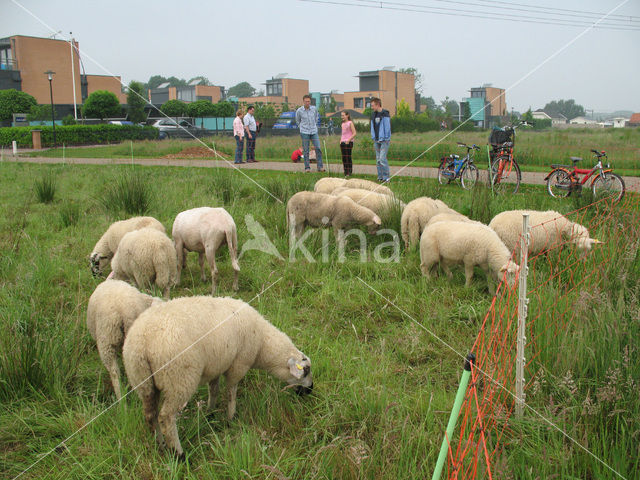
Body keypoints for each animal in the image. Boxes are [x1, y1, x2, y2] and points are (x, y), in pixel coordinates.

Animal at [122, 296, 312, 458]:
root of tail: (142, 343)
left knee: (150, 415)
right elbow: (231, 392)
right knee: (166, 417)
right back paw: (179, 454)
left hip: (142, 381)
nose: (310, 389)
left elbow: (214, 390)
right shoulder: (238, 364)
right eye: (306, 370)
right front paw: (231, 418)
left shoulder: (217, 364)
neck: (262, 344)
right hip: (179, 379)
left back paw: (160, 446)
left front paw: (210, 413)